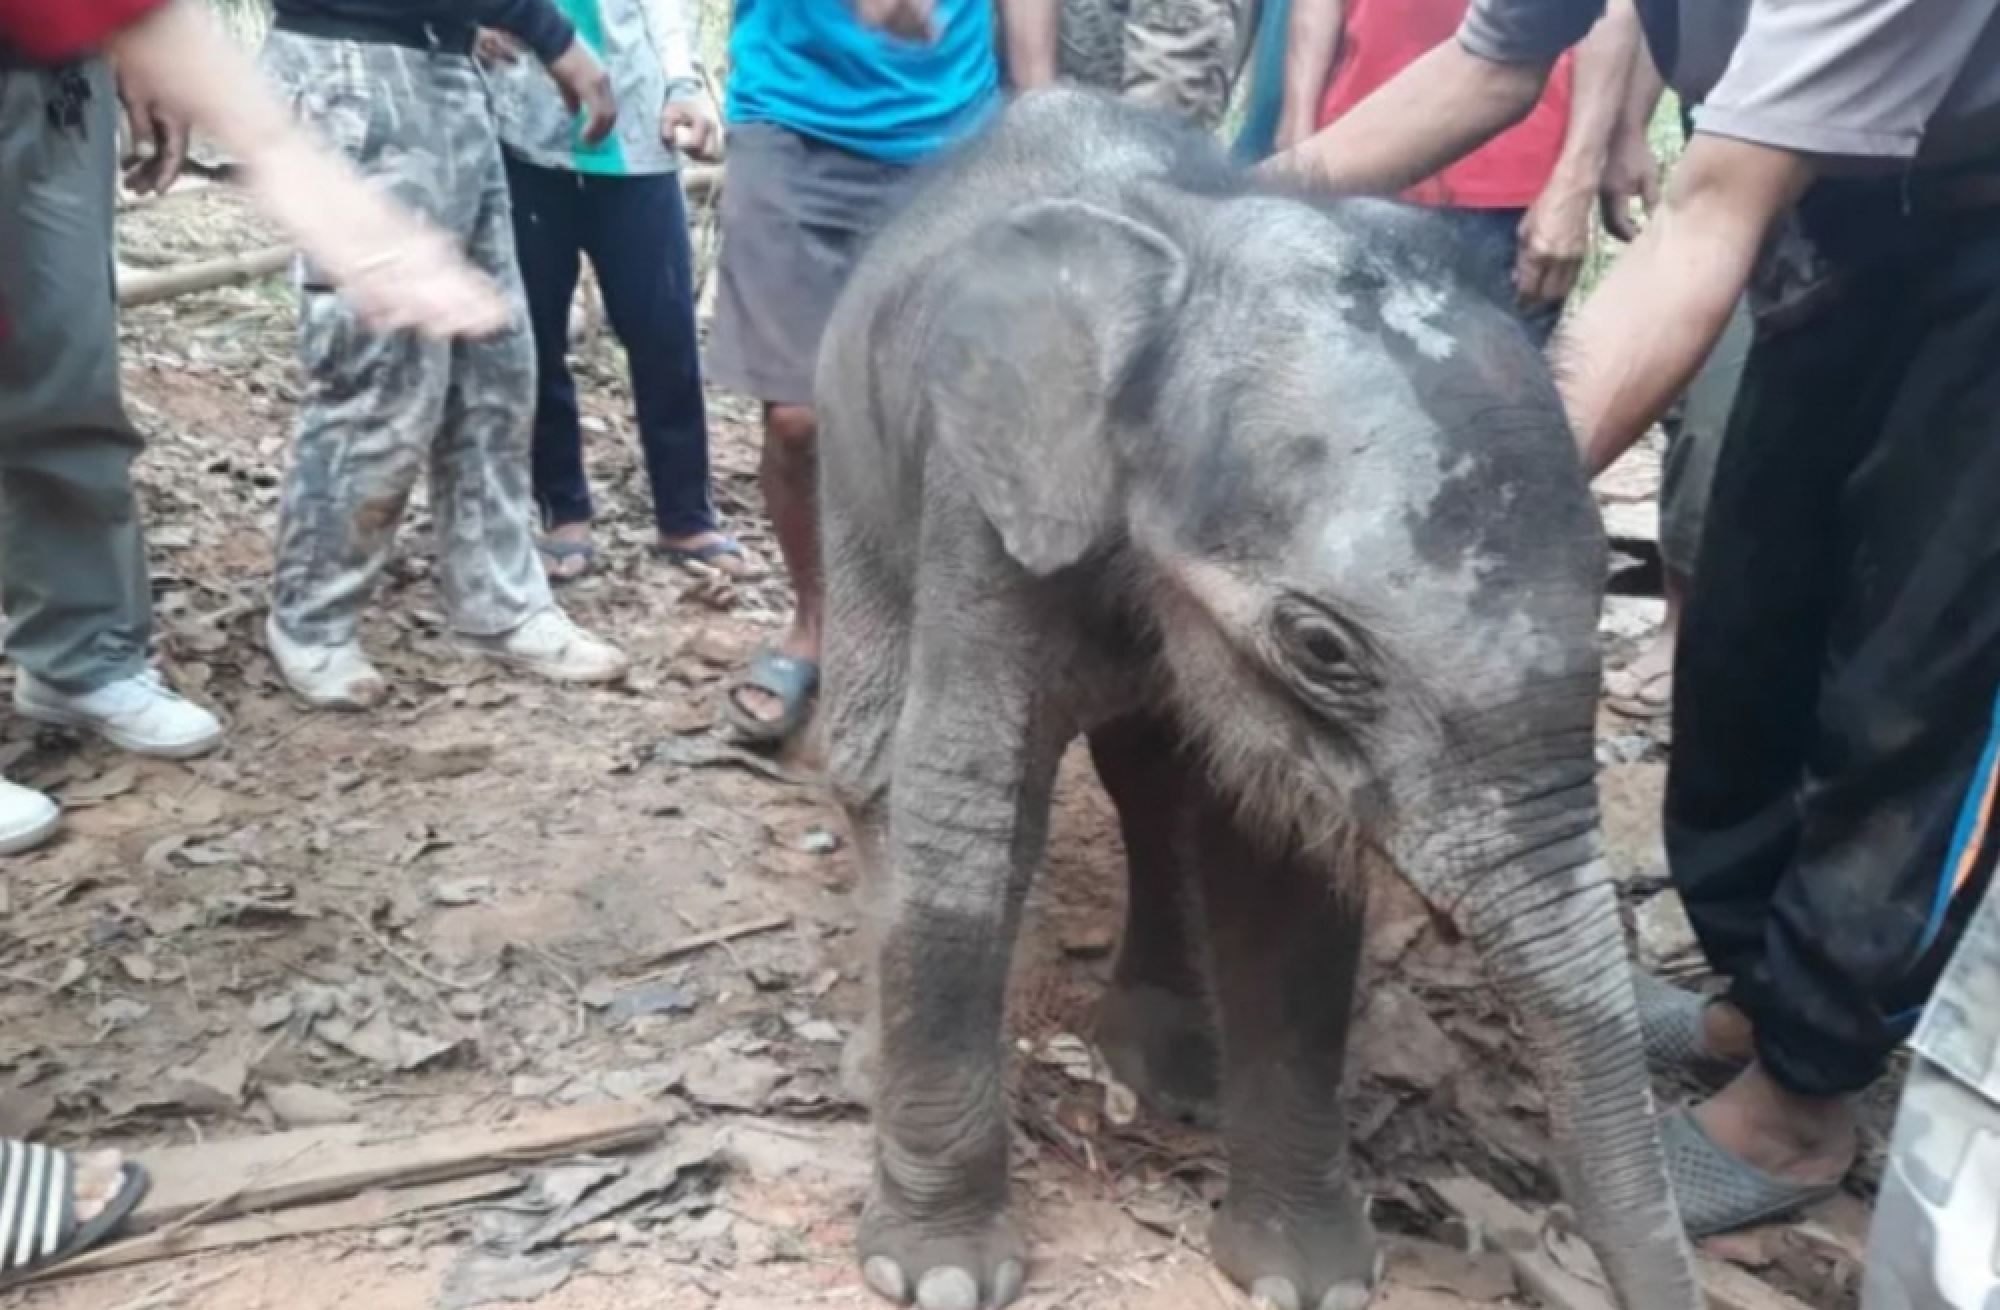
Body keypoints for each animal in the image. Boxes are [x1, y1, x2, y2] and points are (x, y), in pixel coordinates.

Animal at [813, 87, 1700, 1310]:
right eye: (1322, 646)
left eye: (1610, 582)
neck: (1194, 247)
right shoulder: (976, 502)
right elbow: (965, 809)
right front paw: (936, 1274)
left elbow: (1280, 863)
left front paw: (1311, 1281)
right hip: (846, 459)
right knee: (871, 759)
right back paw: (873, 1063)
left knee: (1146, 784)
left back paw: (1171, 1071)